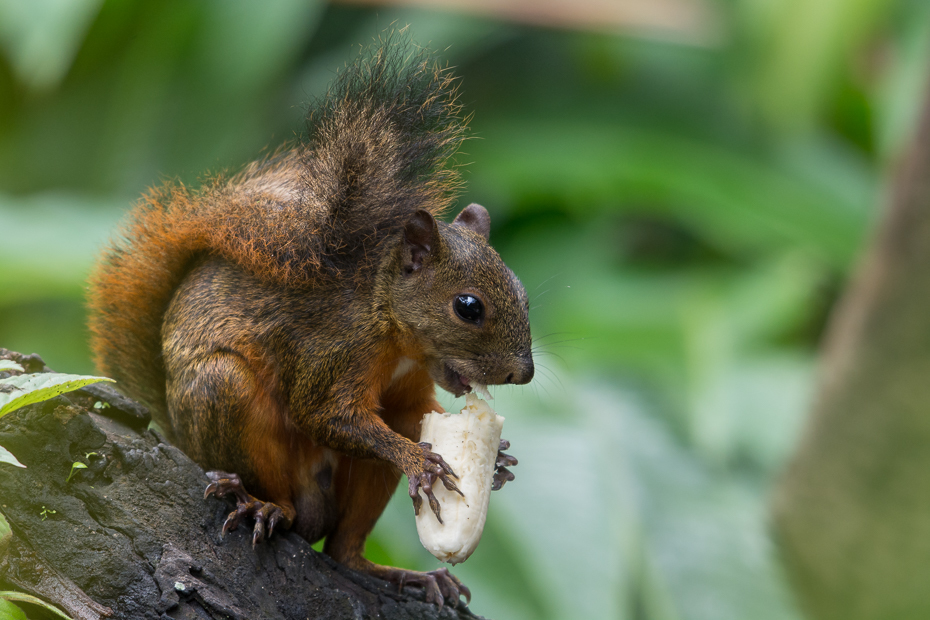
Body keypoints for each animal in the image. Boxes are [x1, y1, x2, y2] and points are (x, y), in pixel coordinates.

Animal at [89, 41, 536, 608]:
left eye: (523, 293)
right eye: (468, 306)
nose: (524, 373)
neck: (390, 327)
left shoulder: (407, 391)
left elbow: (413, 415)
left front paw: (499, 460)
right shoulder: (332, 351)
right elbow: (325, 414)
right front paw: (419, 461)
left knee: (343, 549)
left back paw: (403, 574)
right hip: (222, 395)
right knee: (279, 495)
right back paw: (262, 504)